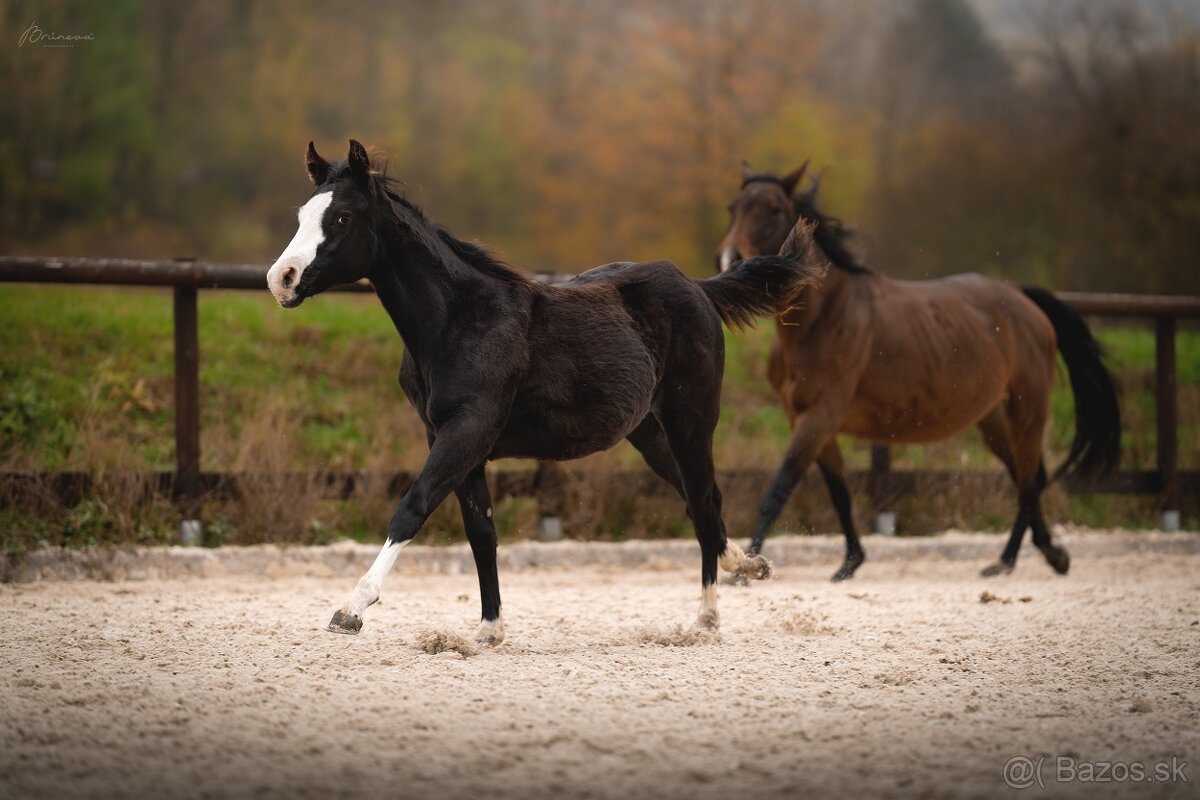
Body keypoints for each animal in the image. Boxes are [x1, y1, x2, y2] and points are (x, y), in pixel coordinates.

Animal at [266, 142, 820, 642]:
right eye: (302, 215)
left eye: (341, 217)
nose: (281, 279)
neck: (459, 320)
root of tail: (699, 289)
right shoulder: (451, 437)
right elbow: (481, 530)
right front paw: (489, 629)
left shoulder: (467, 429)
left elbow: (413, 506)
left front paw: (350, 610)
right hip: (648, 432)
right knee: (699, 497)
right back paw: (749, 565)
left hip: (692, 418)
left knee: (703, 503)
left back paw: (706, 618)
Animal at [715, 160, 1118, 582]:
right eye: (733, 207)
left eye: (774, 208)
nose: (729, 259)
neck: (822, 317)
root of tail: (1025, 300)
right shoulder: (808, 420)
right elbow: (839, 492)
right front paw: (850, 562)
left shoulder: (820, 416)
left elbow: (777, 491)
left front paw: (746, 569)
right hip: (992, 419)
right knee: (1026, 477)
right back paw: (1051, 556)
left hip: (1028, 411)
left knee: (1029, 480)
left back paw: (1006, 561)